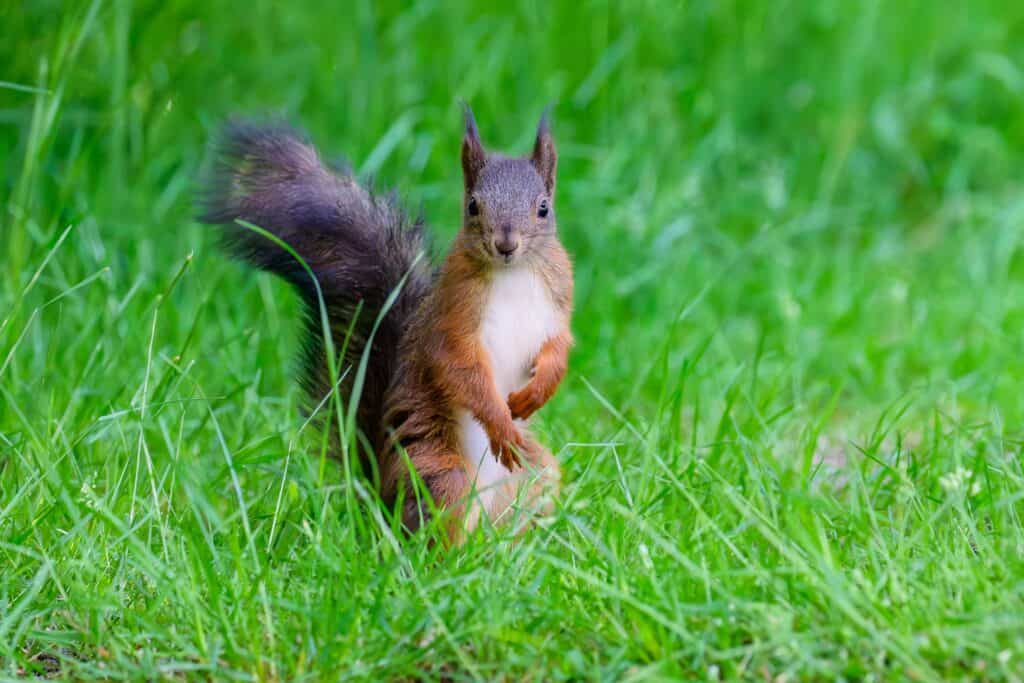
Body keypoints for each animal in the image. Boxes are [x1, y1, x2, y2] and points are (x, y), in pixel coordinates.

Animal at [198, 107, 573, 542]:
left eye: (543, 207)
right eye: (473, 206)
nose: (506, 244)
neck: (514, 273)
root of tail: (382, 502)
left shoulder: (558, 303)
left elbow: (558, 347)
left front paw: (541, 389)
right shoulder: (452, 317)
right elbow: (459, 367)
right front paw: (500, 423)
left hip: (535, 479)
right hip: (439, 475)